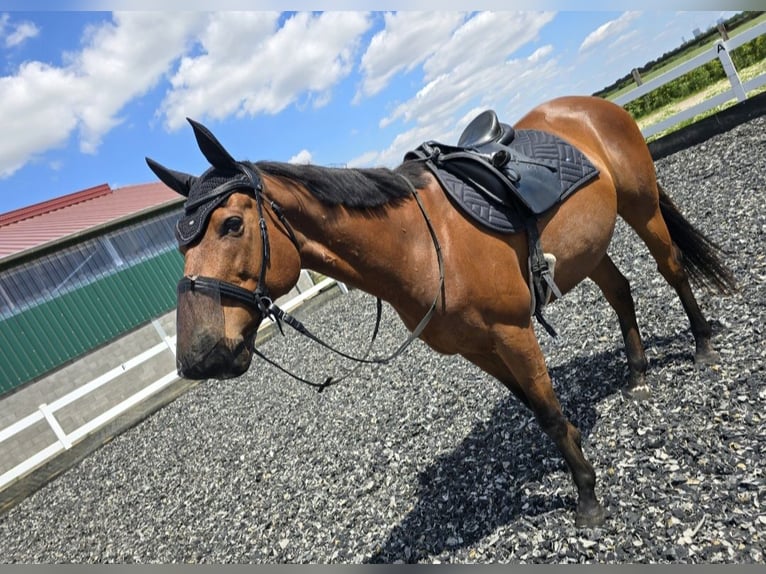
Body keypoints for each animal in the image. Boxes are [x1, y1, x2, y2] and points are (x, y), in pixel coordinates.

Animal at [146, 95, 735, 528]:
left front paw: (587, 495)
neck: (421, 246)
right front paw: (574, 454)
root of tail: (593, 105)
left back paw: (703, 346)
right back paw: (637, 374)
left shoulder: (513, 332)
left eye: (232, 225)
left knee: (673, 270)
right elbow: (536, 409)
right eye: (179, 243)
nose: (199, 356)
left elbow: (546, 411)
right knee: (621, 292)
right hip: (588, 248)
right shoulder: (478, 348)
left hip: (642, 207)